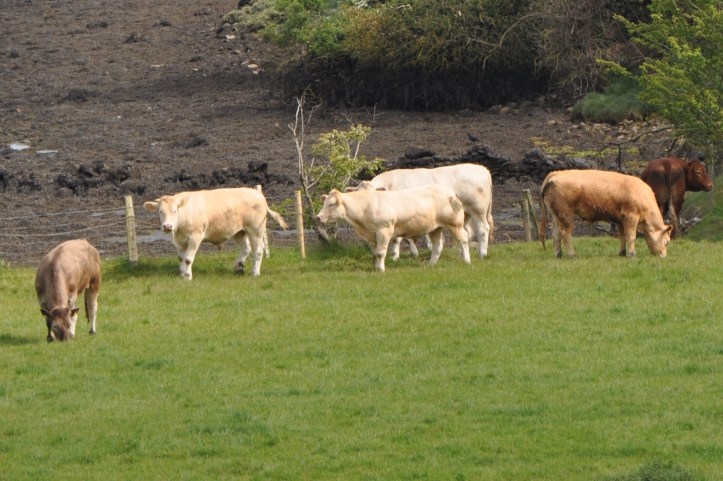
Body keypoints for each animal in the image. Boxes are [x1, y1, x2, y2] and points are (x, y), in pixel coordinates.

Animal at [143, 187, 288, 279]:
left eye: (175, 211)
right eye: (160, 211)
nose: (167, 226)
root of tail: (258, 195)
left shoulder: (195, 237)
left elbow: (188, 259)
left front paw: (188, 276)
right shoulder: (179, 241)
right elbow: (181, 258)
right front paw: (182, 274)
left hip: (256, 229)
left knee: (258, 250)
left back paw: (255, 273)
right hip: (239, 232)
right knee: (246, 248)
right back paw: (238, 267)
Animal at [315, 185, 470, 272]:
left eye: (332, 204)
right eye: (324, 203)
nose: (317, 217)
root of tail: (451, 192)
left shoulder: (384, 229)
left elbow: (380, 252)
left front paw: (381, 269)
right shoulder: (371, 235)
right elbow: (375, 252)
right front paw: (375, 267)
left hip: (455, 224)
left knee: (463, 239)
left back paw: (467, 261)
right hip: (434, 228)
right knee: (438, 245)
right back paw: (430, 265)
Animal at [349, 163, 494, 258]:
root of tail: (482, 169)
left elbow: (400, 238)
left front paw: (396, 256)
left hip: (478, 209)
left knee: (483, 229)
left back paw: (482, 254)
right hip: (465, 213)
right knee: (467, 232)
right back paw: (461, 254)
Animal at [539, 170, 672, 258]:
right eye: (666, 241)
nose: (663, 256)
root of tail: (555, 173)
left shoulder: (621, 220)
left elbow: (622, 237)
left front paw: (622, 253)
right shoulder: (631, 217)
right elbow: (631, 236)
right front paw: (632, 254)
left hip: (556, 215)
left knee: (555, 234)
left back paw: (558, 254)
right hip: (566, 214)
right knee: (565, 234)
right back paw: (572, 254)